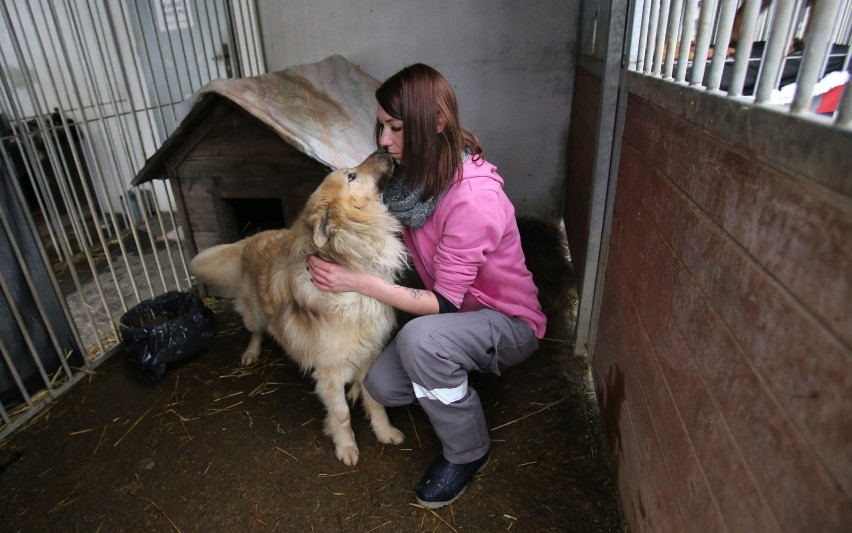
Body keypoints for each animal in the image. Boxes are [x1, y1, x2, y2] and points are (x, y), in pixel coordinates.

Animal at [189, 152, 406, 464]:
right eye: (351, 176)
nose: (385, 151)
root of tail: (252, 237)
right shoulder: (329, 372)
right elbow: (340, 414)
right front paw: (346, 446)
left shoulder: (370, 354)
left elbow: (375, 399)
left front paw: (384, 430)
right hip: (255, 315)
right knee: (256, 331)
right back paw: (251, 352)